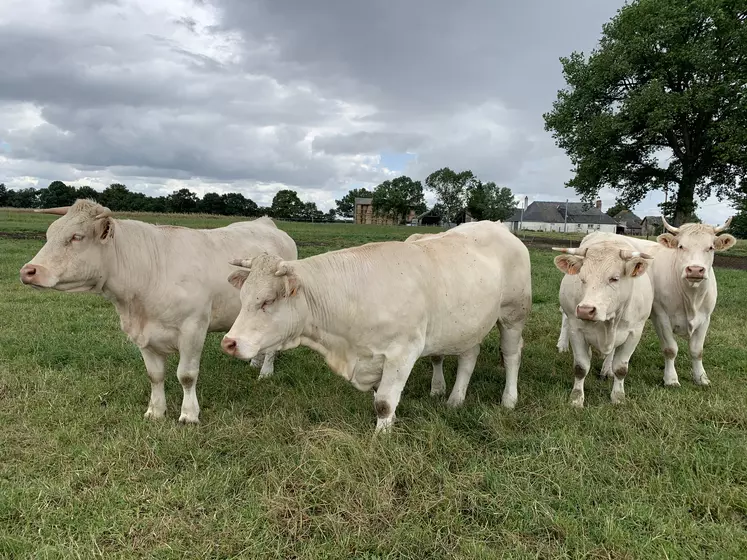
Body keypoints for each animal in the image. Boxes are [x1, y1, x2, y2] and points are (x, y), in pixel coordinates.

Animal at [19, 199, 298, 422]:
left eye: (77, 236)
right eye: (49, 234)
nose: (28, 271)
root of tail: (267, 223)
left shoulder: (193, 328)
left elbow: (186, 375)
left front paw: (189, 414)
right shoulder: (142, 334)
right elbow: (155, 375)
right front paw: (155, 411)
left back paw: (265, 371)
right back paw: (254, 361)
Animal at [219, 221, 528, 430]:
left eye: (267, 301)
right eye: (243, 297)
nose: (228, 342)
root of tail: (497, 225)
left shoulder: (402, 352)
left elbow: (384, 402)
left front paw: (382, 436)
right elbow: (381, 397)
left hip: (513, 314)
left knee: (512, 355)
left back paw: (509, 400)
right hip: (470, 324)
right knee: (468, 356)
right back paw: (455, 399)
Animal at [556, 234, 656, 410]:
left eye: (614, 278)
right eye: (582, 279)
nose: (585, 310)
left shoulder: (634, 332)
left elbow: (621, 368)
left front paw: (618, 396)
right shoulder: (576, 329)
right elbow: (580, 367)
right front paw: (576, 398)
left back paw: (607, 369)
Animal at [620, 217, 736, 388]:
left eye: (711, 247)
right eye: (681, 246)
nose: (695, 270)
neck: (691, 298)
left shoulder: (705, 318)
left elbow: (697, 350)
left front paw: (701, 377)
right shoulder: (660, 316)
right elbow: (670, 349)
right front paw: (671, 379)